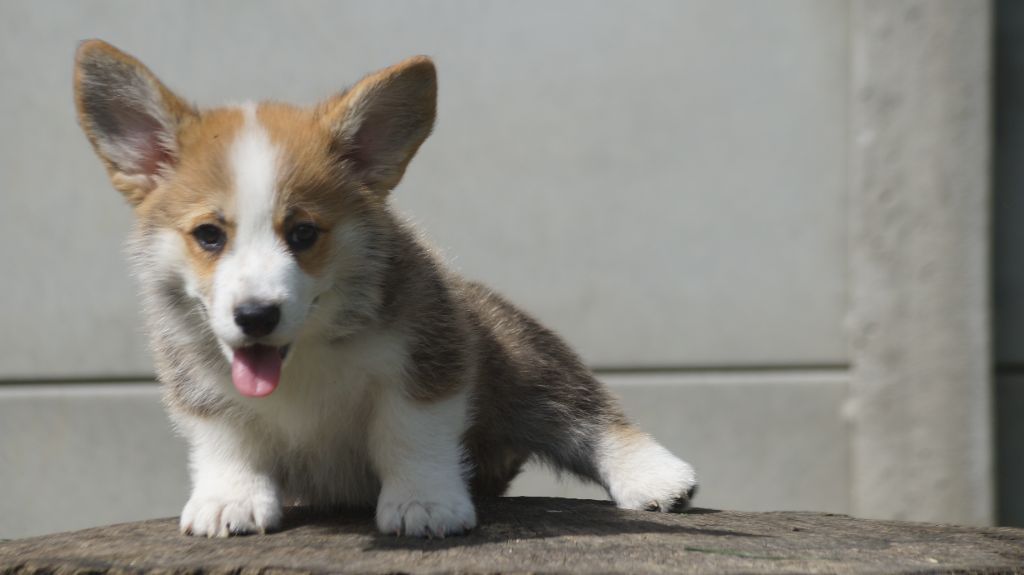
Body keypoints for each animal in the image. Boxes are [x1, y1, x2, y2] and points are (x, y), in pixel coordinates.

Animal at [70, 41, 696, 536]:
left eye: (303, 233)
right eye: (208, 235)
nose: (255, 316)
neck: (305, 355)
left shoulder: (429, 358)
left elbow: (410, 431)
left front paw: (424, 503)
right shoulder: (198, 383)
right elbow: (226, 437)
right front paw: (231, 499)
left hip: (521, 356)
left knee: (584, 412)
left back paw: (655, 477)